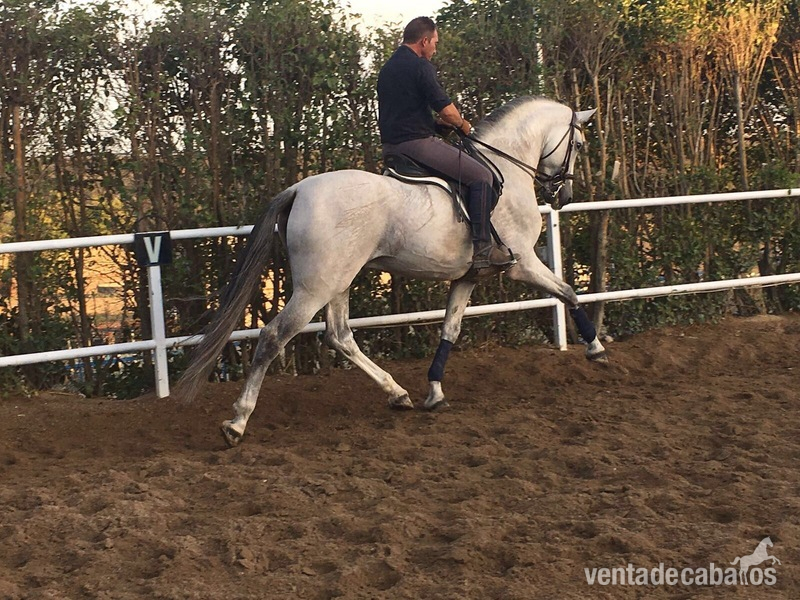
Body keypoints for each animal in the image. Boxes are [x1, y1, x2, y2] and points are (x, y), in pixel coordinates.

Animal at [178, 96, 607, 448]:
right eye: (579, 145)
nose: (564, 197)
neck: (506, 166)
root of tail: (299, 189)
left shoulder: (466, 277)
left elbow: (450, 329)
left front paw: (434, 392)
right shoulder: (523, 264)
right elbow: (567, 291)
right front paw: (596, 350)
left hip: (339, 281)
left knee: (339, 336)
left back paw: (397, 393)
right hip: (315, 288)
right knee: (273, 337)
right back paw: (237, 423)